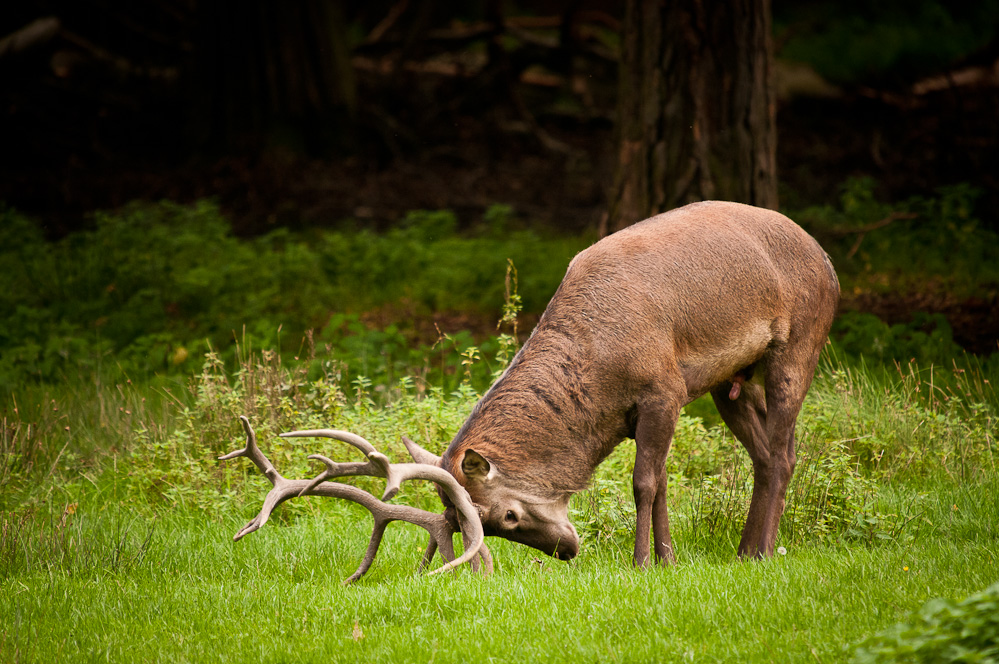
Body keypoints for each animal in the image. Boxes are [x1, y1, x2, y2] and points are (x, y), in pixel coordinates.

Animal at [225, 201, 836, 576]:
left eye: (509, 519)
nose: (567, 551)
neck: (601, 374)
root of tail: (825, 255)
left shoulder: (663, 388)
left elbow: (644, 482)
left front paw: (642, 563)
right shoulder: (664, 400)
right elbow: (662, 482)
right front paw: (667, 560)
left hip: (799, 342)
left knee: (784, 449)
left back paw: (762, 551)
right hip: (729, 380)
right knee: (766, 452)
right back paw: (745, 550)